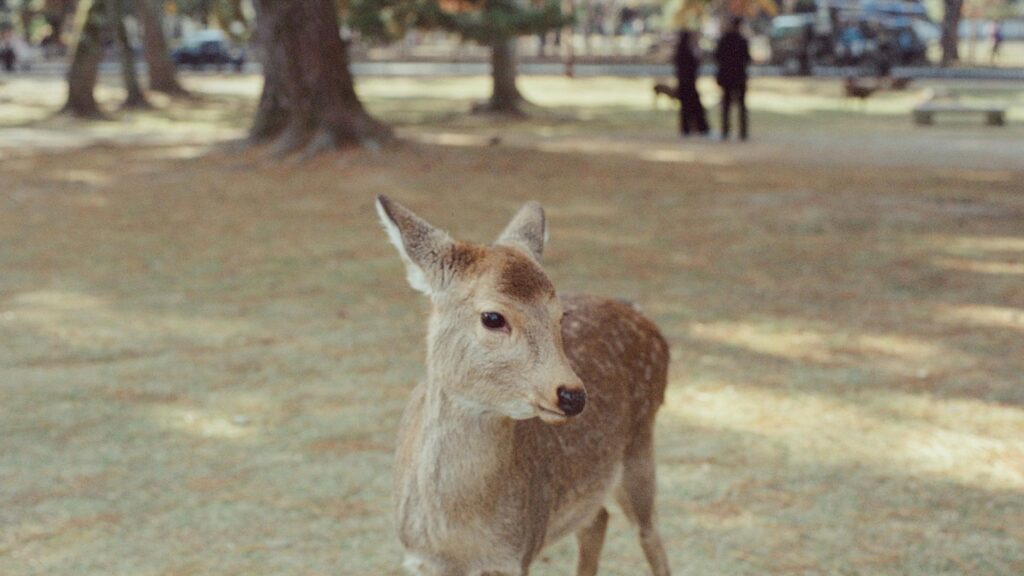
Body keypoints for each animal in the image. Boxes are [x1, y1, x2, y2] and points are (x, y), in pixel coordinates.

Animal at [376, 195, 672, 576]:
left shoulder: (518, 554)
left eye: (560, 315)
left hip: (640, 444)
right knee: (598, 519)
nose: (572, 395)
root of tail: (640, 314)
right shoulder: (417, 557)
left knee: (649, 532)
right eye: (492, 317)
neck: (458, 542)